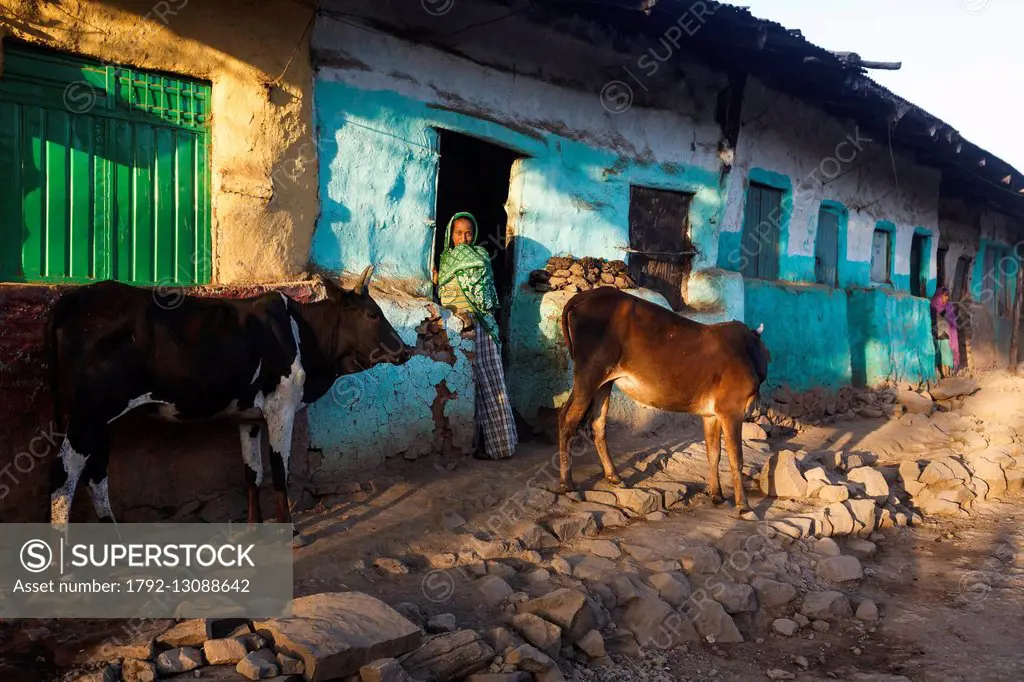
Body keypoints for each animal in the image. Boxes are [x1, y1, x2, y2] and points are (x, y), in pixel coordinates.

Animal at [46, 262, 407, 544]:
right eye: (373, 314)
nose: (404, 351)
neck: (302, 332)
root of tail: (73, 298)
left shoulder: (249, 417)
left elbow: (252, 472)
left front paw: (253, 527)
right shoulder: (281, 409)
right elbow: (279, 472)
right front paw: (291, 532)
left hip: (99, 422)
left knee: (96, 473)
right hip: (87, 417)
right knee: (64, 475)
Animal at [561, 284, 770, 516]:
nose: (760, 408)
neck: (746, 352)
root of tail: (586, 295)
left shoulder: (712, 415)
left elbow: (714, 454)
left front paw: (718, 496)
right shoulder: (731, 411)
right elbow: (736, 458)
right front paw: (745, 506)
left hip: (604, 383)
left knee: (597, 424)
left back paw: (613, 476)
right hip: (589, 376)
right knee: (567, 419)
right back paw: (568, 485)